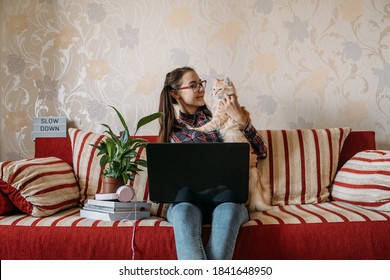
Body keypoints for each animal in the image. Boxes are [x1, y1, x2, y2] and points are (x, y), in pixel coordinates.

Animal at [190, 77, 270, 211]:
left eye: (220, 89)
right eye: (213, 89)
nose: (214, 93)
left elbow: (205, 127)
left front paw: (193, 128)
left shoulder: (217, 119)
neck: (219, 102)